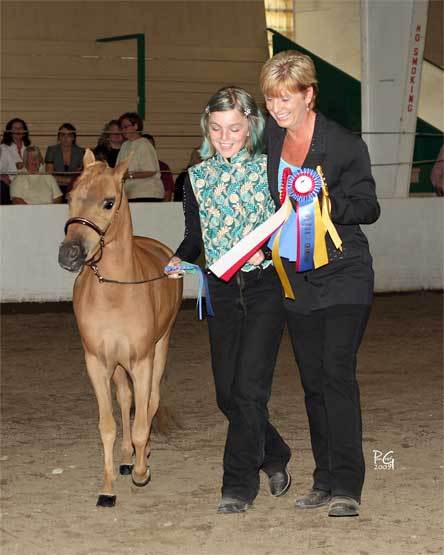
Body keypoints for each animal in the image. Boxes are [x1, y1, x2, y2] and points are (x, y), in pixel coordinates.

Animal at [58, 151, 182, 508]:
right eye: (71, 197)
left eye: (109, 202)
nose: (69, 254)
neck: (116, 293)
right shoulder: (97, 363)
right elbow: (109, 425)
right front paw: (108, 487)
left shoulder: (142, 361)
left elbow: (143, 418)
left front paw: (142, 472)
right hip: (117, 365)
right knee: (126, 400)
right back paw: (127, 459)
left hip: (160, 348)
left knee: (149, 402)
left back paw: (141, 458)